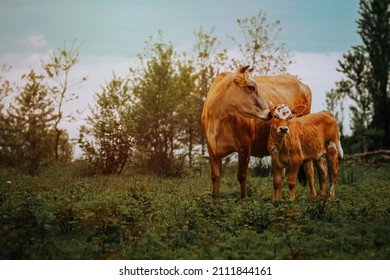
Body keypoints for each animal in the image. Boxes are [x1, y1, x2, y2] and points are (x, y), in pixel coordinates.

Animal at [203, 65, 312, 197]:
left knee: (310, 170)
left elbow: (242, 176)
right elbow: (216, 176)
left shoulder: (245, 145)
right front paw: (215, 199)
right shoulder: (211, 147)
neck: (218, 119)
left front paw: (244, 198)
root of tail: (303, 85)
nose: (270, 113)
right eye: (251, 87)